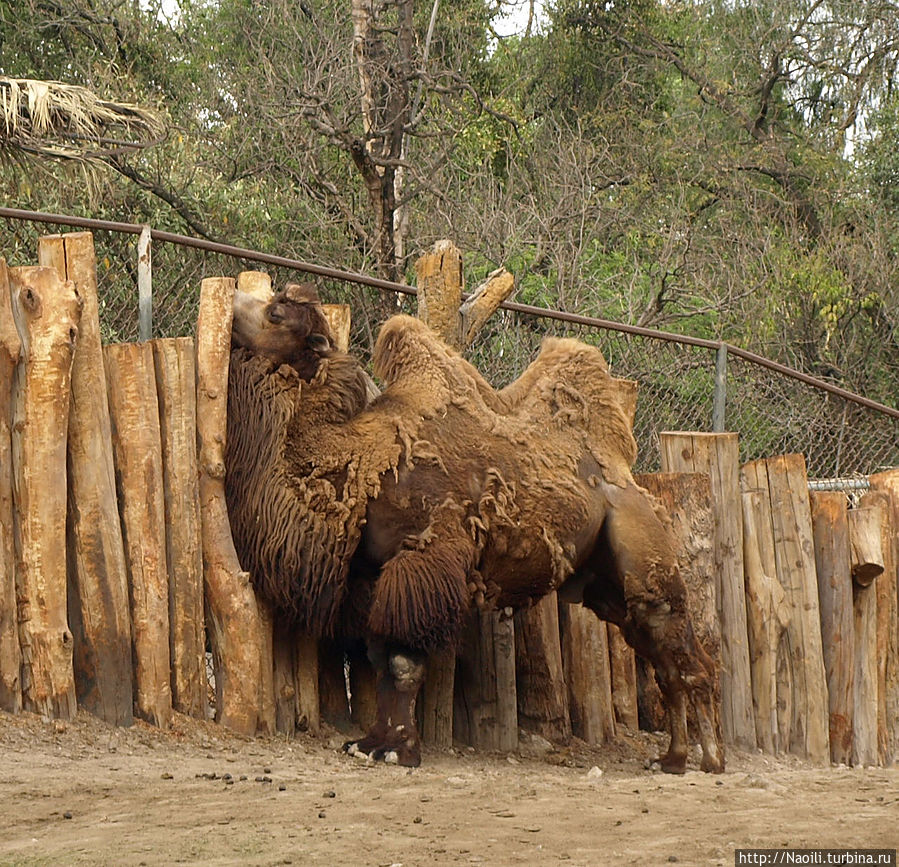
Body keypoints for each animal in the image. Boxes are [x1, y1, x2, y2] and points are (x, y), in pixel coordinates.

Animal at [225, 284, 724, 772]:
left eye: (276, 312)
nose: (231, 301)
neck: (360, 458)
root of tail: (630, 481)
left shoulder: (423, 558)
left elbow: (402, 662)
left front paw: (398, 750)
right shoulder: (370, 575)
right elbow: (380, 659)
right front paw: (369, 743)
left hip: (644, 559)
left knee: (683, 653)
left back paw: (710, 760)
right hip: (607, 588)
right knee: (661, 659)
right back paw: (673, 758)